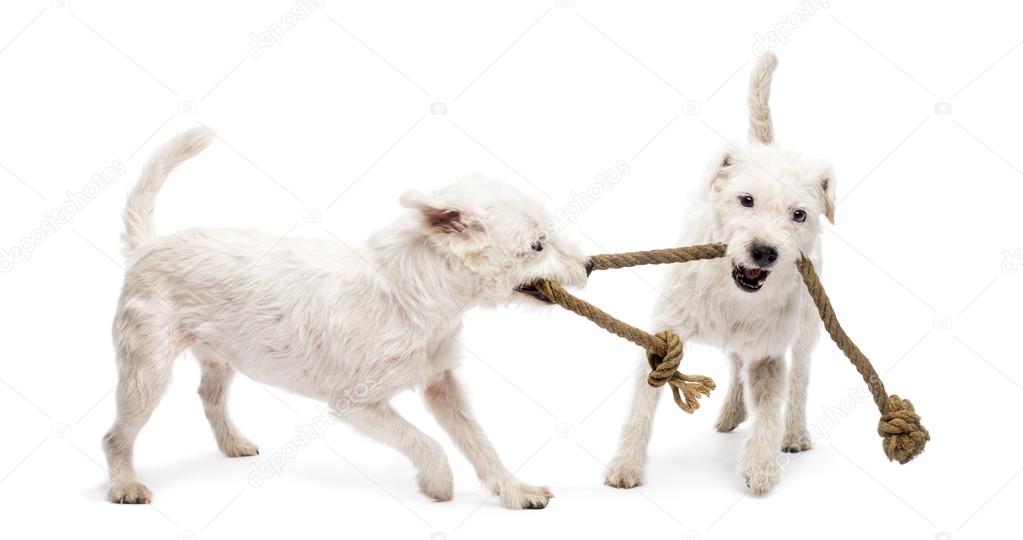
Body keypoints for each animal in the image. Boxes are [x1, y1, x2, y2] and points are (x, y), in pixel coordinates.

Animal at [102, 128, 589, 509]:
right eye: (538, 245)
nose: (586, 265)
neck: (421, 294)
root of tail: (147, 246)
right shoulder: (358, 403)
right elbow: (424, 441)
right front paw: (438, 482)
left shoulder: (442, 385)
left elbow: (479, 442)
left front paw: (514, 490)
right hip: (146, 370)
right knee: (117, 434)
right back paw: (125, 485)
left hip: (220, 353)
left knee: (209, 394)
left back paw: (231, 442)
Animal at [601, 53, 834, 492]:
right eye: (746, 200)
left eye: (799, 215)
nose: (765, 252)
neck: (734, 293)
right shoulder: (665, 339)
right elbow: (640, 409)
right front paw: (625, 466)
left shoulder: (769, 354)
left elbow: (769, 412)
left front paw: (760, 467)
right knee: (736, 365)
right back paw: (730, 415)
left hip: (807, 327)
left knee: (799, 378)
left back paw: (794, 433)